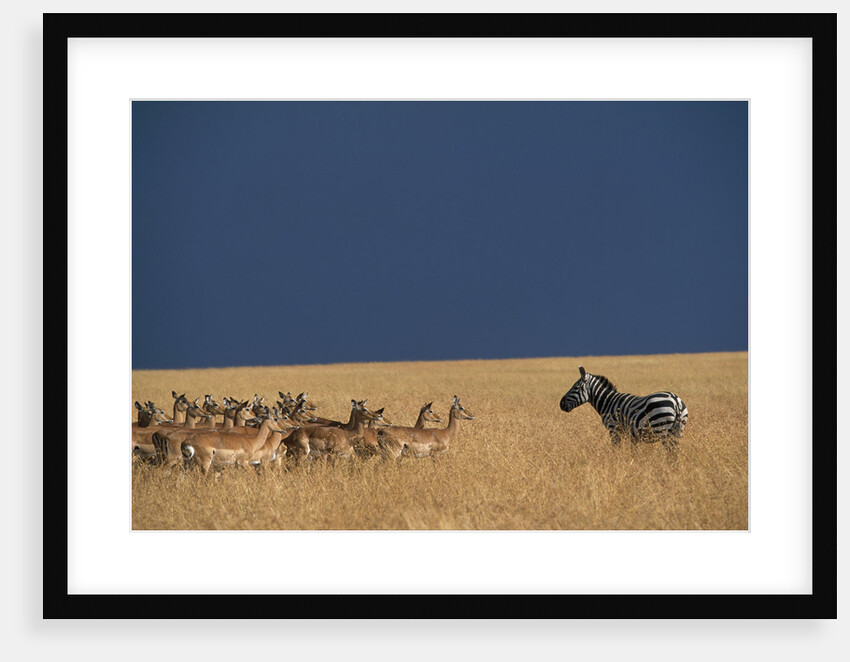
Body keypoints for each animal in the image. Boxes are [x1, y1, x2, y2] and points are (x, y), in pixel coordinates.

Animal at [559, 366, 688, 449]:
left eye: (575, 387)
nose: (561, 404)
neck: (608, 402)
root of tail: (675, 400)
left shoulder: (614, 428)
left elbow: (616, 449)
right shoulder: (633, 435)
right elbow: (634, 451)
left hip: (661, 427)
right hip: (677, 430)